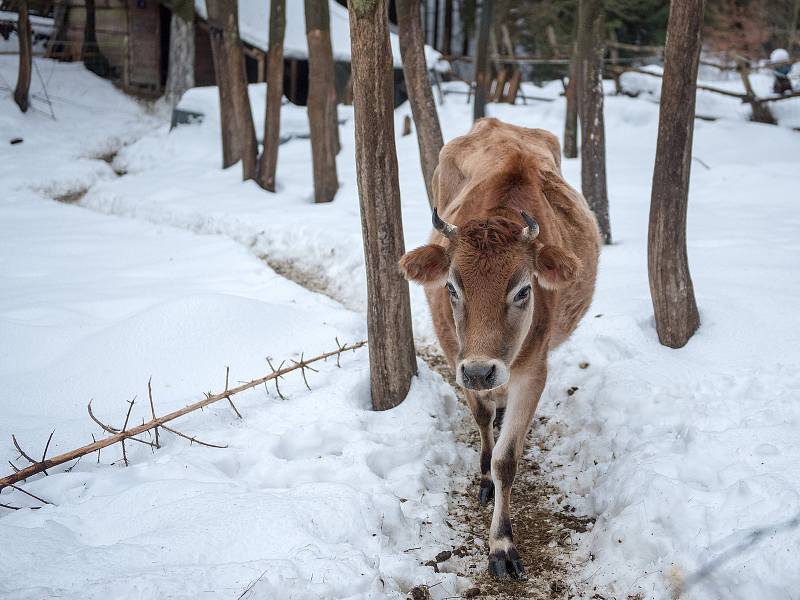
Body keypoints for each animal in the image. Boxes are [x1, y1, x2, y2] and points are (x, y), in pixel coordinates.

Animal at [400, 117, 600, 576]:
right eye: (451, 287)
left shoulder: (533, 370)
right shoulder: (454, 354)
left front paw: (502, 545)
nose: (480, 370)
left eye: (524, 290)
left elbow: (507, 459)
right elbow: (481, 417)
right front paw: (484, 478)